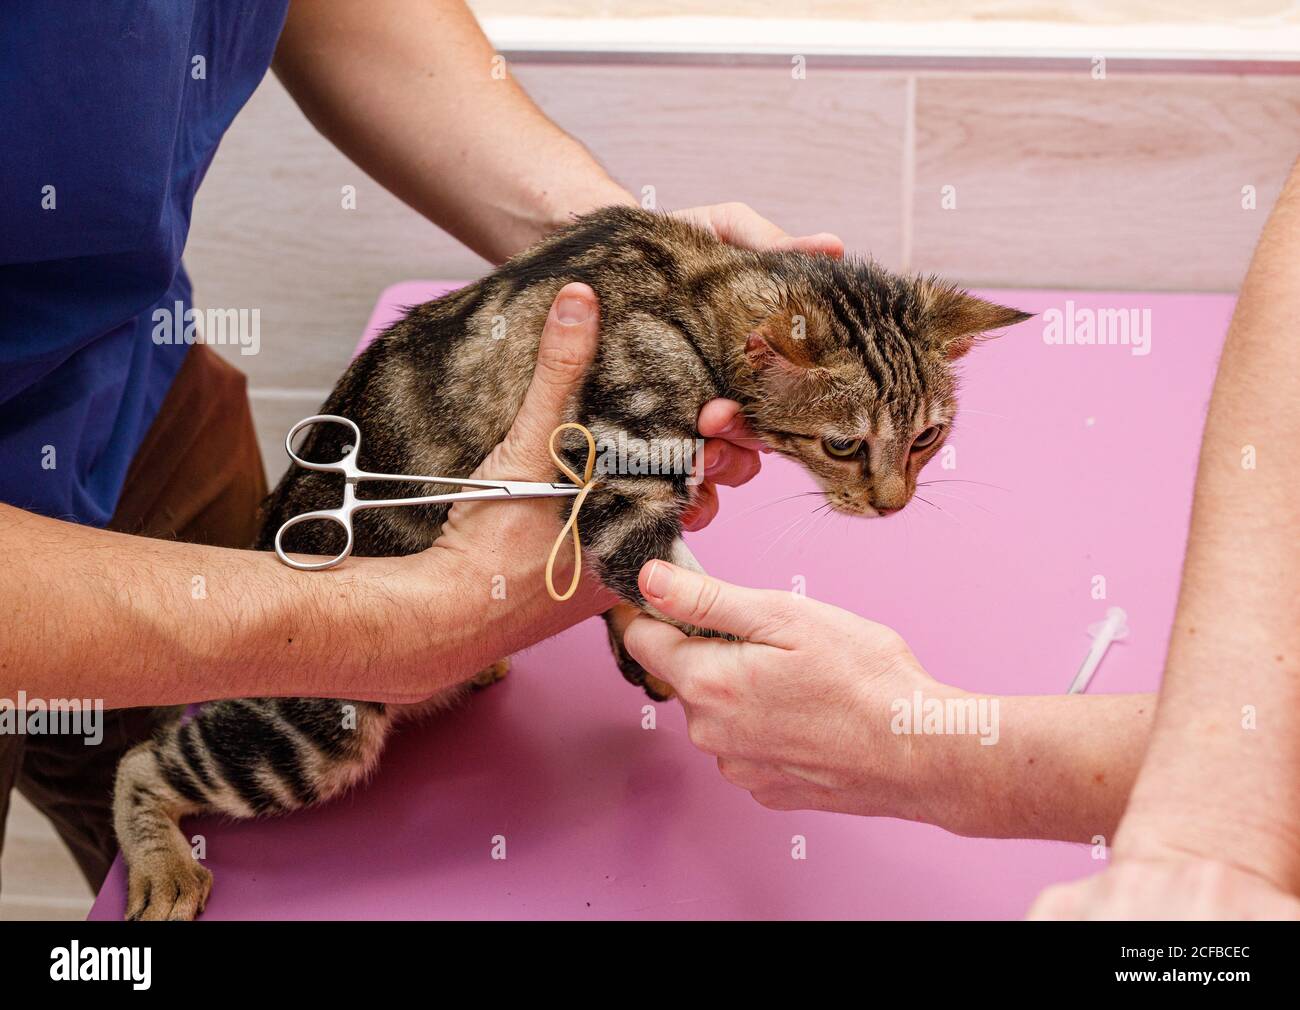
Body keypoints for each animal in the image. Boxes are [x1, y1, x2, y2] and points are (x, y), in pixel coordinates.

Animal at [111, 202, 1024, 915]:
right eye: (843, 445)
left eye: (928, 437)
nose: (894, 503)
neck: (694, 290)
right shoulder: (622, 477)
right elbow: (670, 583)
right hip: (308, 734)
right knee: (143, 759)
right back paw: (161, 867)